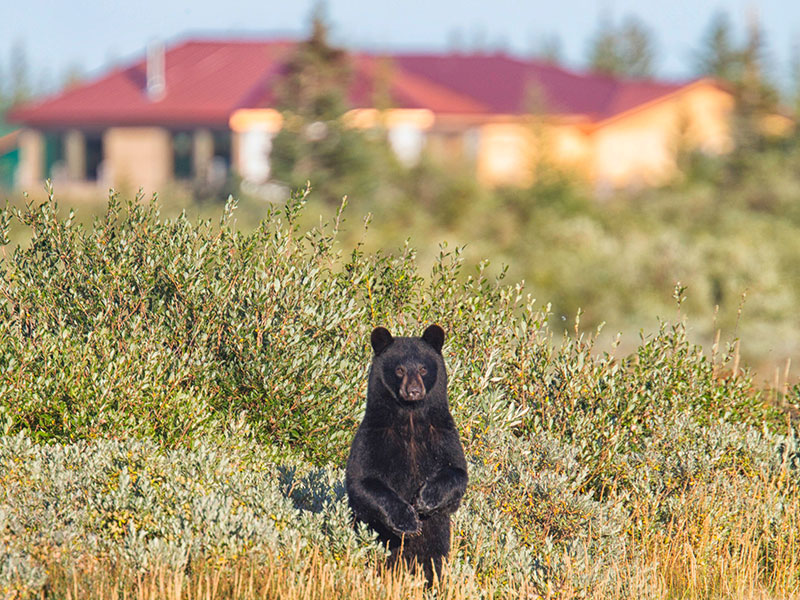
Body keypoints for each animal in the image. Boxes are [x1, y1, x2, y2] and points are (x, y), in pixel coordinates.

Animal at [346, 326, 468, 584]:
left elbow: (457, 472)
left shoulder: (442, 432)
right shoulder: (374, 434)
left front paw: (426, 499)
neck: (411, 420)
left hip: (438, 540)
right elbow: (362, 481)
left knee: (433, 563)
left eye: (423, 368)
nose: (413, 391)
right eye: (399, 369)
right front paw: (408, 520)